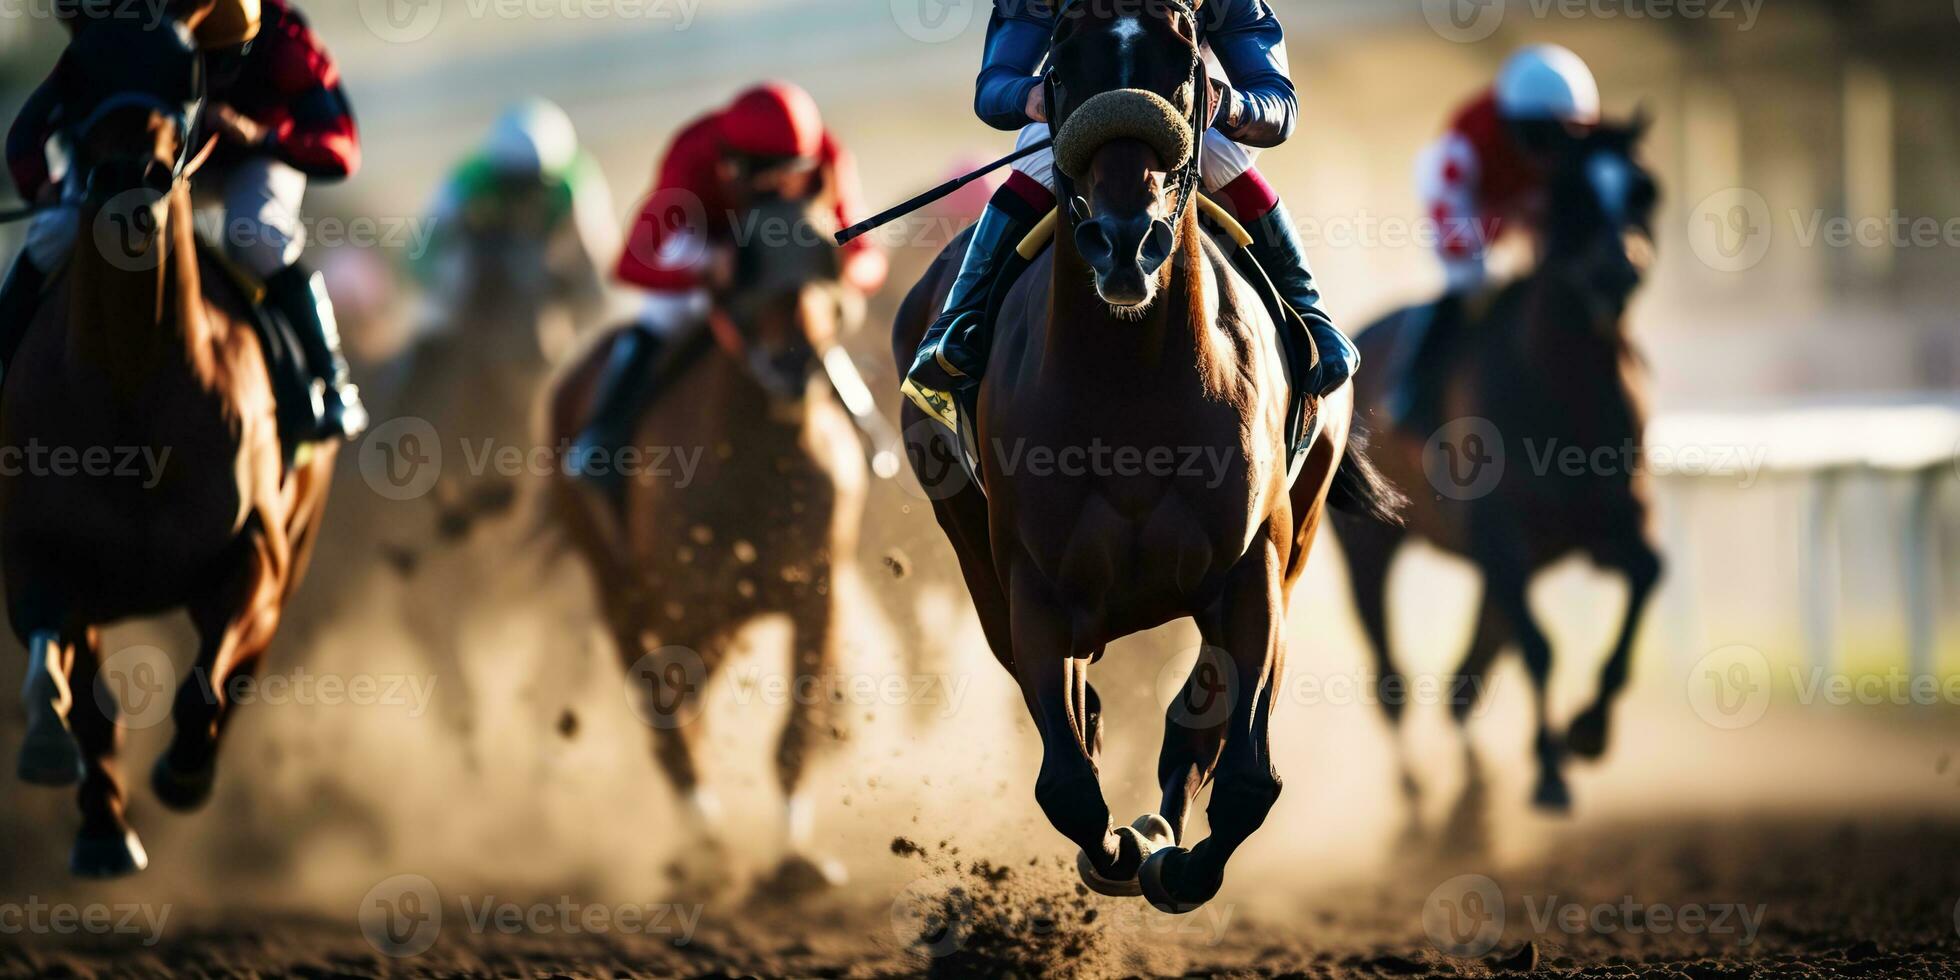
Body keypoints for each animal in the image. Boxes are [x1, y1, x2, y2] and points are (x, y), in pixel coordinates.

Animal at [2, 13, 337, 874]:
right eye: (77, 72)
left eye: (186, 78)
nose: (131, 180)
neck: (131, 393)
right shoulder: (42, 559)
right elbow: (74, 689)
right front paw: (92, 815)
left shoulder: (255, 554)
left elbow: (205, 686)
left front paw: (183, 771)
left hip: (303, 529)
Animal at [544, 195, 866, 893]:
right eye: (749, 258)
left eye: (826, 256)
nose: (795, 363)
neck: (756, 462)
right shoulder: (682, 608)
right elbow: (675, 718)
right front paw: (710, 852)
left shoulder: (817, 597)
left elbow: (796, 728)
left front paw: (797, 861)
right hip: (619, 589)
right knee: (662, 711)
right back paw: (701, 843)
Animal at [893, 1, 1411, 917]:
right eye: (1062, 68)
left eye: (1186, 68)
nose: (1125, 242)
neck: (1132, 383)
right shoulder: (1032, 589)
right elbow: (1068, 783)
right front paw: (1114, 853)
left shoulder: (1253, 569)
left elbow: (1245, 779)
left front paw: (1172, 861)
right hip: (967, 545)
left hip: (1302, 527)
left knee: (1195, 721)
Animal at [1324, 116, 1662, 811]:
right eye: (1568, 193)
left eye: (1644, 189)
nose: (1618, 272)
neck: (1568, 398)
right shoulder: (1502, 534)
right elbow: (1539, 647)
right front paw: (1553, 772)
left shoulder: (1609, 526)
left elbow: (1649, 574)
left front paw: (1589, 731)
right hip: (1369, 552)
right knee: (1392, 677)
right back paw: (1416, 788)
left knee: (1465, 679)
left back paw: (1475, 777)